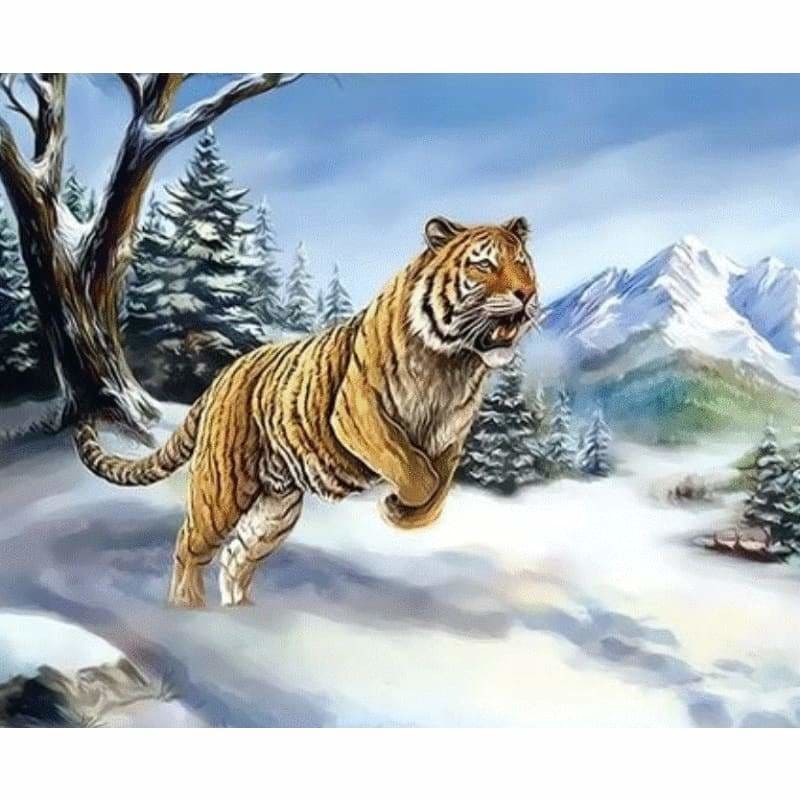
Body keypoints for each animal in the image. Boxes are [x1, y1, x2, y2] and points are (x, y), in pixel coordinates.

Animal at [74, 216, 540, 608]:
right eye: (484, 265)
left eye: (523, 263)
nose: (527, 295)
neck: (454, 363)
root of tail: (221, 378)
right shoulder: (359, 414)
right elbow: (413, 470)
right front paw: (395, 504)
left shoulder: (449, 440)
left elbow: (436, 495)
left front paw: (404, 514)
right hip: (221, 488)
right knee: (190, 546)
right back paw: (187, 609)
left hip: (275, 509)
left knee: (236, 556)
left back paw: (239, 614)